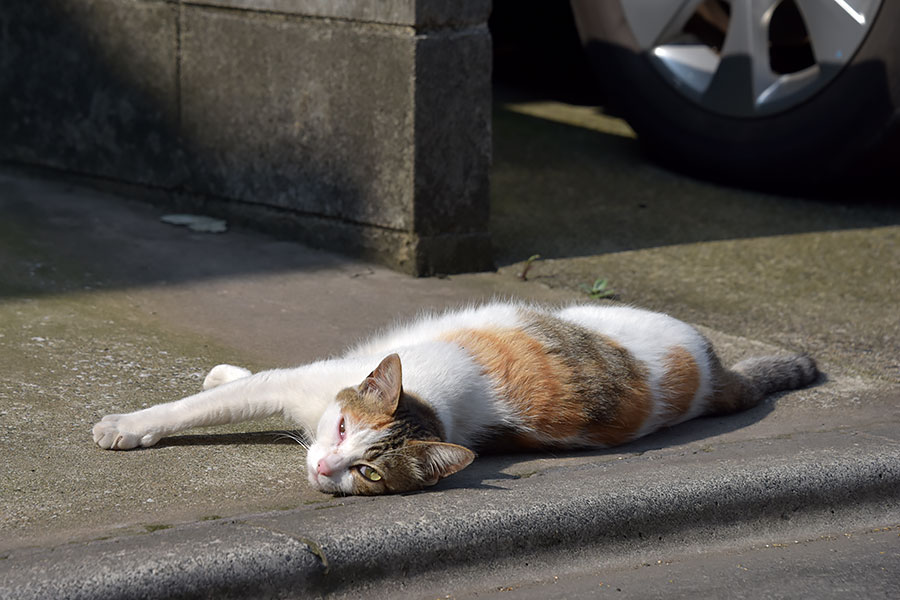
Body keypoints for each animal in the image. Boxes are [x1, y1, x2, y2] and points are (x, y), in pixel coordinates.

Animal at [89, 302, 816, 494]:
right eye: (344, 429)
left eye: (368, 471)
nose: (325, 467)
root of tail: (714, 375)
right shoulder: (309, 386)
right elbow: (233, 392)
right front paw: (215, 380)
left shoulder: (306, 386)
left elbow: (207, 404)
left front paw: (125, 425)